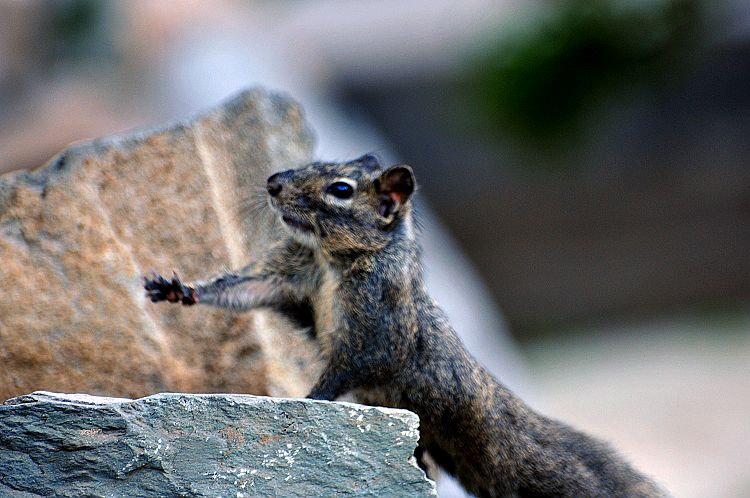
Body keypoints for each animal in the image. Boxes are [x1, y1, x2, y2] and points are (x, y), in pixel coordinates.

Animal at [144, 155, 668, 498]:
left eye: (341, 189)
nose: (272, 183)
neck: (334, 260)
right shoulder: (290, 278)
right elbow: (245, 288)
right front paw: (179, 290)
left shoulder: (377, 323)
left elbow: (354, 363)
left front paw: (308, 399)